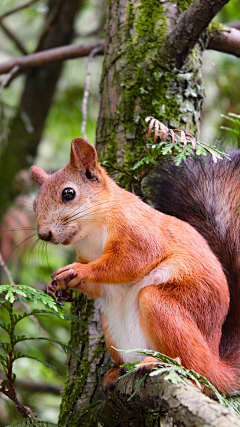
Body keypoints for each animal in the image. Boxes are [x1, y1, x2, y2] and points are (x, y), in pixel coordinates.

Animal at [31, 137, 240, 394]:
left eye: (68, 193)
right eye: (34, 204)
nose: (44, 234)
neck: (92, 232)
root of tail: (216, 363)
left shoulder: (138, 232)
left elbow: (128, 262)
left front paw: (76, 271)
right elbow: (99, 286)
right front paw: (57, 286)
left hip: (165, 305)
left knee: (198, 372)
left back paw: (165, 365)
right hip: (111, 328)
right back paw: (115, 372)